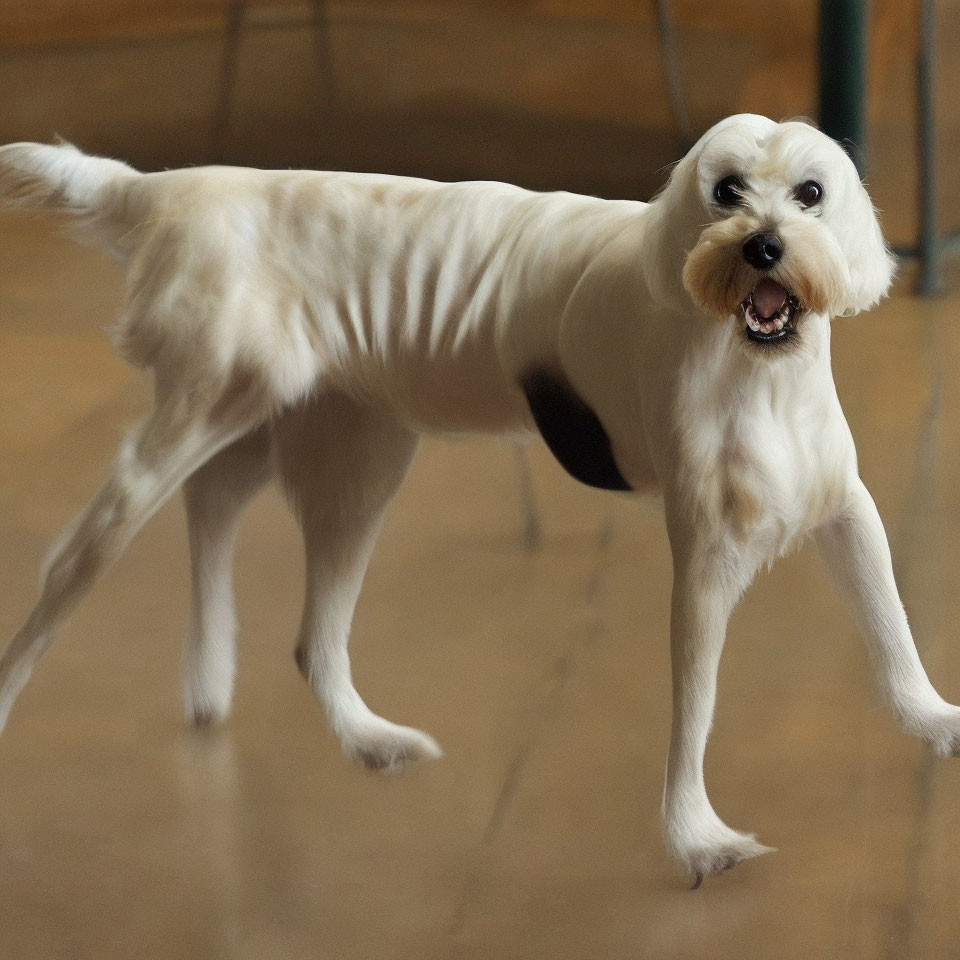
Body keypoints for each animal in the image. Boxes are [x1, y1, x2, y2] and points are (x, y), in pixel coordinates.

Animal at [0, 114, 952, 884]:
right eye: (725, 192)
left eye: (812, 193)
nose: (761, 246)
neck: (758, 369)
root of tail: (169, 190)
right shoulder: (706, 565)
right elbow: (696, 707)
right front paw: (695, 837)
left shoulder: (846, 512)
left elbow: (892, 626)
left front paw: (933, 717)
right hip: (201, 424)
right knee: (76, 561)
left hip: (335, 450)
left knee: (265, 572)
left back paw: (300, 713)